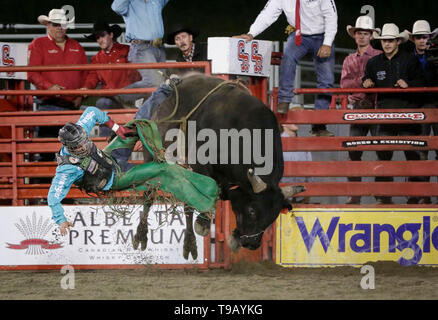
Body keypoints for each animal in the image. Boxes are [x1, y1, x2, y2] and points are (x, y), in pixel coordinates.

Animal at [133, 74, 304, 258]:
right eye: (252, 210)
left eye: (273, 216)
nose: (252, 244)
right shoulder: (199, 163)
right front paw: (203, 223)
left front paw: (234, 236)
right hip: (153, 155)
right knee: (150, 194)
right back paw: (141, 235)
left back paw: (189, 244)